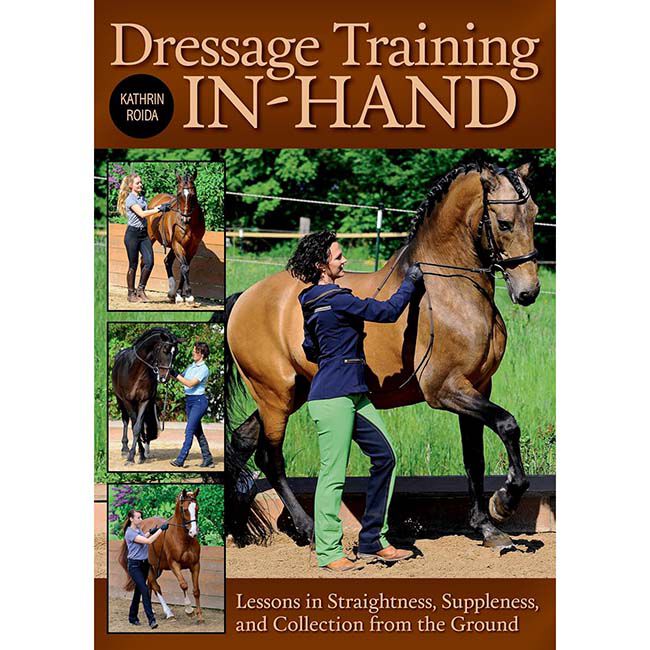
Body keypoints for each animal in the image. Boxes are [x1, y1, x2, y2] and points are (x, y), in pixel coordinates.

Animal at [112, 327, 180, 465]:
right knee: (125, 421)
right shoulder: (127, 401)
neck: (136, 371)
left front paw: (140, 454)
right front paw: (131, 456)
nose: (164, 377)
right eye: (165, 350)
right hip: (120, 400)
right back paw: (125, 448)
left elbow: (138, 427)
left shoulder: (144, 401)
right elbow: (133, 425)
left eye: (175, 353)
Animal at [118, 489, 204, 624]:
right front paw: (189, 610)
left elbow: (196, 591)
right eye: (185, 509)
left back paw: (152, 610)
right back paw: (169, 613)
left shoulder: (195, 565)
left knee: (148, 584)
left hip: (156, 568)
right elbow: (183, 585)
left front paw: (200, 616)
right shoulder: (174, 564)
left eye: (197, 508)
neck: (184, 539)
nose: (193, 532)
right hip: (149, 567)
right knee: (155, 585)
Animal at [147, 171, 206, 304]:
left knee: (167, 261)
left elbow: (185, 268)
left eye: (193, 194)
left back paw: (171, 293)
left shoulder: (192, 248)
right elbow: (184, 267)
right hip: (152, 238)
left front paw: (181, 294)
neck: (189, 225)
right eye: (179, 194)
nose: (185, 218)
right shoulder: (178, 244)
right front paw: (188, 295)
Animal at [225, 161, 542, 550]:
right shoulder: (445, 390)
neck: (449, 289)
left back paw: (239, 526)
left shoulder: (479, 386)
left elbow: (474, 459)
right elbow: (508, 425)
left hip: (291, 393)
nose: (528, 291)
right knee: (271, 457)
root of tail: (244, 298)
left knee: (243, 442)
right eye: (505, 223)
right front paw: (503, 503)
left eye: (534, 215)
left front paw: (488, 528)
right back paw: (308, 529)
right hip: (276, 395)